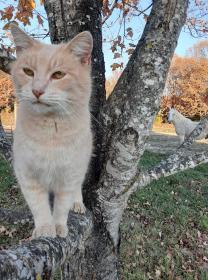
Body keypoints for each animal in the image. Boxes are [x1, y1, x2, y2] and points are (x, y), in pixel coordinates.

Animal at [9, 24, 92, 238]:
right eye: (28, 71)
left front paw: (59, 227)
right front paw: (44, 230)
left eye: (58, 75)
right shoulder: (27, 174)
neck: (49, 130)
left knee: (77, 189)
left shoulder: (69, 175)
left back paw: (78, 204)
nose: (37, 91)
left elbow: (62, 206)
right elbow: (39, 206)